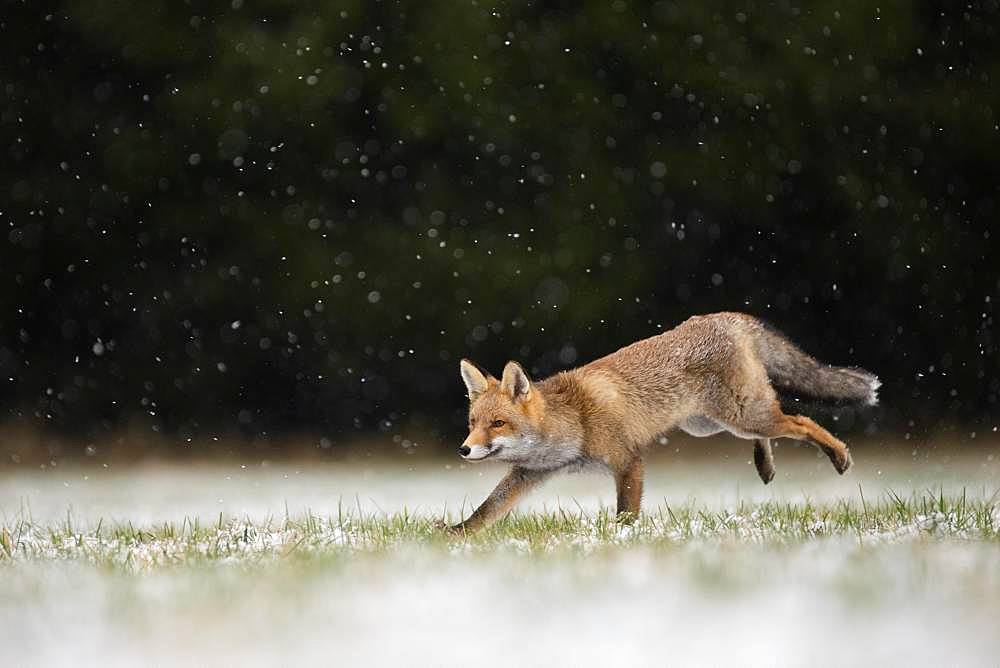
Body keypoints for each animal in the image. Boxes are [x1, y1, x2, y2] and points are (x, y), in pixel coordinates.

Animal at [450, 310, 880, 532]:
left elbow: (625, 511)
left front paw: (621, 540)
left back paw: (839, 455)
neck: (571, 422)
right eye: (472, 422)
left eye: (498, 423)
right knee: (774, 426)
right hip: (712, 423)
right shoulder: (529, 474)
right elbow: (487, 509)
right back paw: (765, 464)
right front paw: (457, 535)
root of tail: (725, 316)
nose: (465, 449)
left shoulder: (628, 460)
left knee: (801, 421)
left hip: (744, 414)